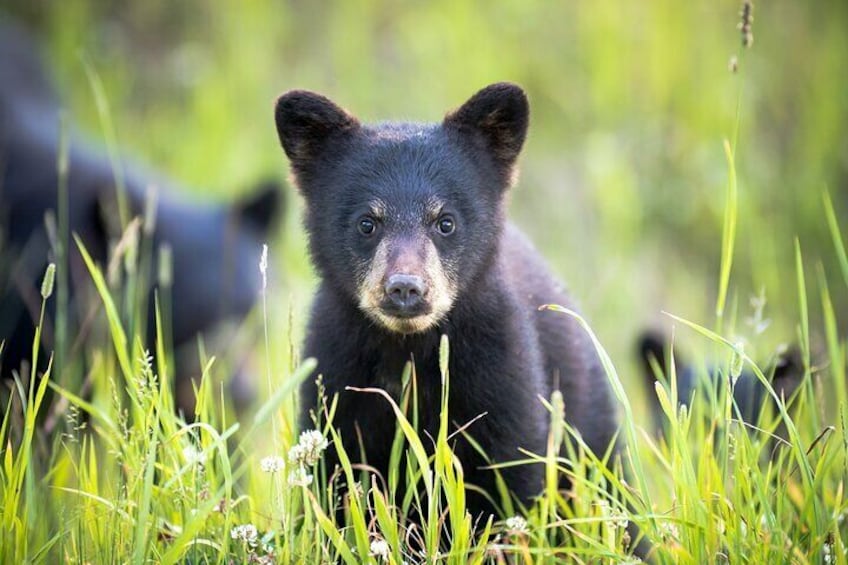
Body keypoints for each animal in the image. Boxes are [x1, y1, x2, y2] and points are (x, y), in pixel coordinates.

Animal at [273, 83, 620, 523]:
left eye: (446, 221)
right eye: (367, 223)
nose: (405, 288)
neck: (409, 351)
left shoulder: (499, 374)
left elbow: (512, 479)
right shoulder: (337, 378)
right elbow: (336, 485)